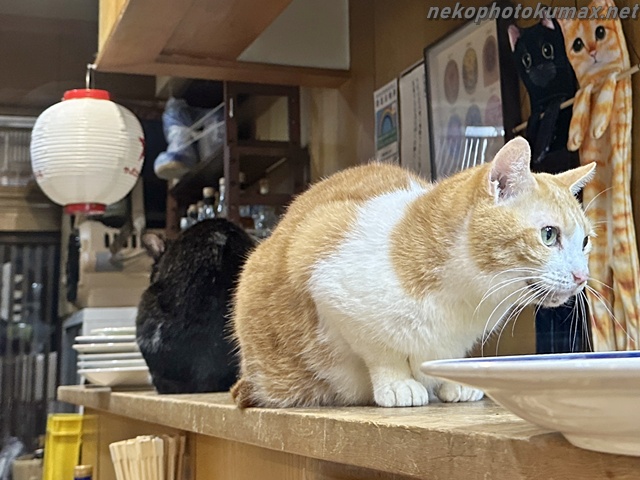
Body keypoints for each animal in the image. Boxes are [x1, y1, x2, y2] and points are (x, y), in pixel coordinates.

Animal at [231, 137, 595, 408]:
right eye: (548, 235)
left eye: (585, 241)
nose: (582, 277)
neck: (463, 299)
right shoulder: (323, 268)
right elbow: (381, 352)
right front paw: (398, 384)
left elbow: (443, 357)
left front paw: (451, 381)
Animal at [508, 16, 579, 173]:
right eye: (526, 60)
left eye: (547, 50)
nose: (539, 67)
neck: (547, 93)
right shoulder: (536, 104)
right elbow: (534, 118)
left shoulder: (563, 95)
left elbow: (553, 108)